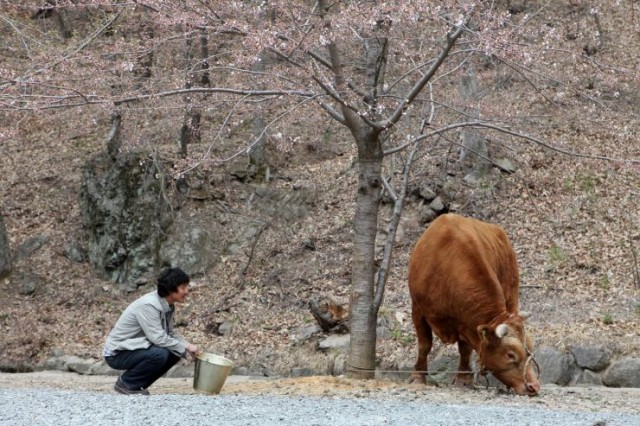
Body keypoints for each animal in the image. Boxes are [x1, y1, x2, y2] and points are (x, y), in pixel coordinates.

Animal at [408, 213, 536, 396]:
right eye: (510, 355)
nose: (534, 386)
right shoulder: (418, 309)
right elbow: (424, 345)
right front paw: (418, 377)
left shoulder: (466, 321)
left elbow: (465, 350)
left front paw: (463, 380)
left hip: (512, 294)